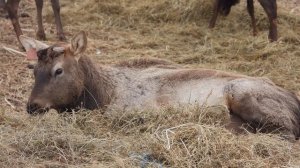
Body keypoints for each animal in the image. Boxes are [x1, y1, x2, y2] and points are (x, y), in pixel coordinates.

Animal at [19, 30, 298, 140]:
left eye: (58, 70)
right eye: (33, 69)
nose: (32, 106)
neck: (98, 94)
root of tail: (295, 101)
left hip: (242, 94)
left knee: (284, 132)